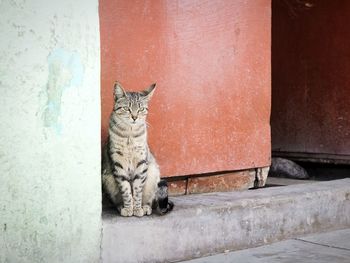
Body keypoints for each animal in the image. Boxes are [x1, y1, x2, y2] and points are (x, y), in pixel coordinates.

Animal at [102, 81, 173, 218]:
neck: (130, 134)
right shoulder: (118, 163)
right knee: (117, 200)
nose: (134, 117)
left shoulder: (141, 162)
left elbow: (137, 189)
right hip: (108, 179)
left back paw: (145, 207)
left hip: (153, 172)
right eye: (127, 108)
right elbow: (126, 190)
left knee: (151, 200)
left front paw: (137, 208)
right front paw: (129, 208)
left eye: (141, 109)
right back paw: (121, 207)